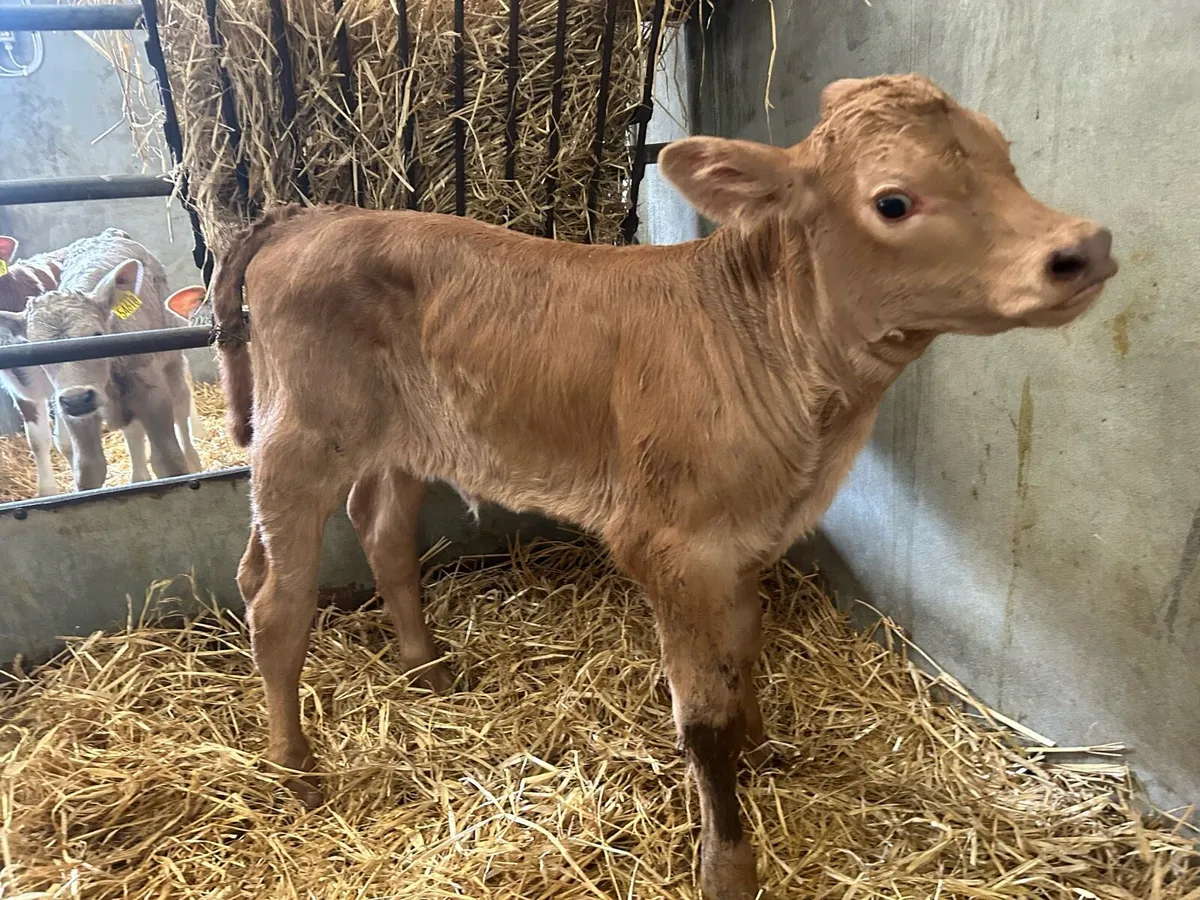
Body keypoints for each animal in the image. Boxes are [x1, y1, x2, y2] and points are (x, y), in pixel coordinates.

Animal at [0, 229, 207, 493]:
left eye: (97, 335)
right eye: (36, 348)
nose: (78, 399)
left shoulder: (152, 395)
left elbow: (168, 461)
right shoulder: (71, 412)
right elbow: (88, 469)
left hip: (171, 359)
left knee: (181, 404)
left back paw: (193, 456)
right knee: (133, 431)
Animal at [206, 75, 1118, 900]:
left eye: (1005, 156)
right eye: (893, 201)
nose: (1086, 247)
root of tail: (310, 215)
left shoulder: (749, 536)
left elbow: (744, 649)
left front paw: (764, 747)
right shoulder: (669, 546)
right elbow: (702, 719)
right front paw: (729, 864)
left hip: (400, 439)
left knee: (377, 530)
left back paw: (426, 666)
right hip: (302, 436)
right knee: (275, 601)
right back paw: (296, 770)